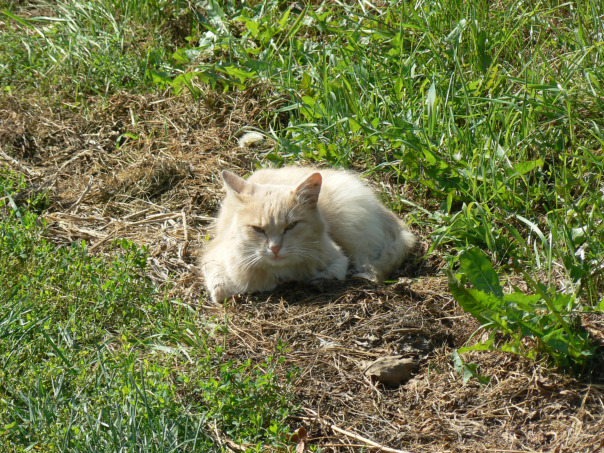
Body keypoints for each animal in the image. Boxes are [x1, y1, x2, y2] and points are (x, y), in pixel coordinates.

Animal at [201, 166, 415, 302]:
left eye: (291, 226)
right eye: (258, 229)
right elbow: (222, 289)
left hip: (350, 231)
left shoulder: (337, 257)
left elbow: (333, 273)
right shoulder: (212, 260)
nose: (275, 248)